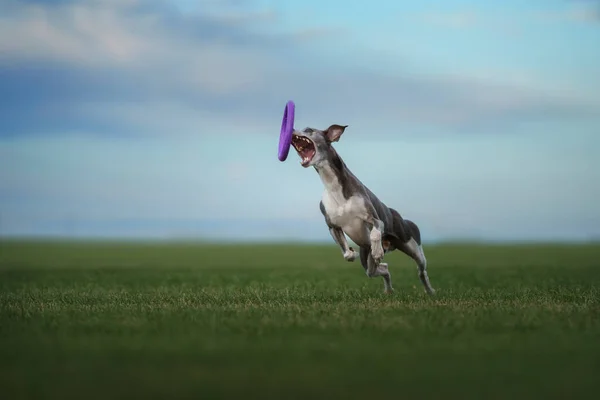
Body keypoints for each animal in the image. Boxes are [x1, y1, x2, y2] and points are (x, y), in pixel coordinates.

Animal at [290, 123, 434, 296]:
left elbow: (375, 233)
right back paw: (388, 289)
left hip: (412, 245)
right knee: (382, 269)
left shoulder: (374, 219)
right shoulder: (333, 226)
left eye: (309, 130)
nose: (290, 130)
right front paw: (352, 252)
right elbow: (346, 253)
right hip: (367, 259)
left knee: (421, 270)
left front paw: (377, 250)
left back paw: (430, 290)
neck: (334, 187)